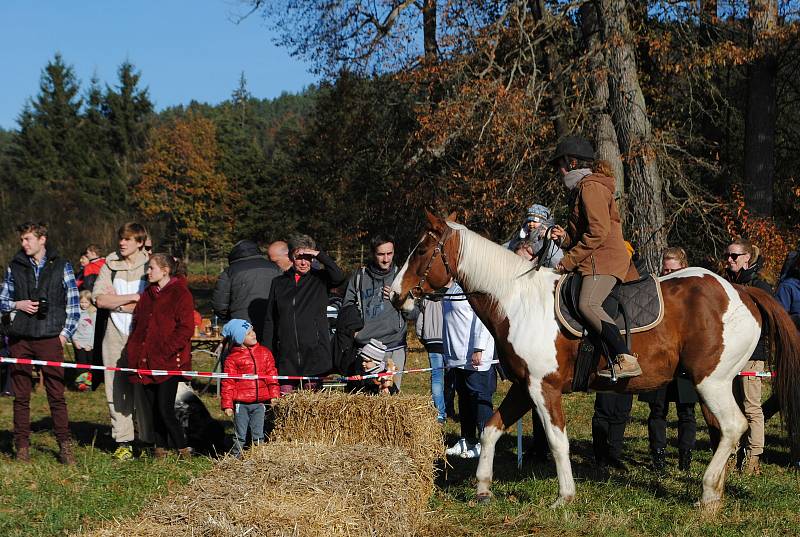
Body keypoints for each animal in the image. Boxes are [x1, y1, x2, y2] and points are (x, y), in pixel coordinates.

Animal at [390, 210, 800, 510]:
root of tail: (740, 289)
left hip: (710, 381)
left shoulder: (544, 389)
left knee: (734, 426)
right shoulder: (525, 386)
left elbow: (557, 442)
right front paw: (483, 488)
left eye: (421, 252)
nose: (394, 295)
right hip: (711, 384)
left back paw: (708, 491)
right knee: (723, 431)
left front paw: (564, 497)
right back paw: (714, 495)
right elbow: (490, 429)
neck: (517, 300)